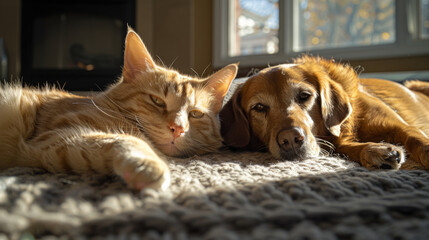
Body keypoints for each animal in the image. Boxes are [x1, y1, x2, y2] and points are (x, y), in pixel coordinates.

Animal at [0, 28, 237, 189]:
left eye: (195, 114)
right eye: (157, 101)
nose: (177, 129)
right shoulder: (54, 136)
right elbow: (128, 139)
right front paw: (150, 166)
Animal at [221, 56, 428, 170]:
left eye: (304, 96)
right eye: (259, 107)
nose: (290, 139)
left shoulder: (402, 126)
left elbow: (416, 138)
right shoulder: (336, 142)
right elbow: (345, 147)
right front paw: (375, 150)